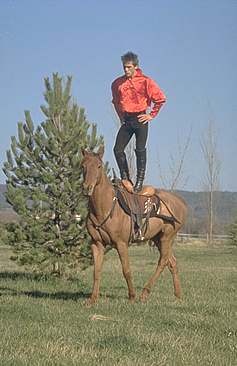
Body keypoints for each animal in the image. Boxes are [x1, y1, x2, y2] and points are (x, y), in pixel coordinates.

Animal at [81, 144, 187, 304]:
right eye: (83, 166)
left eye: (99, 166)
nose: (87, 188)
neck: (106, 207)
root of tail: (180, 202)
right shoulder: (97, 243)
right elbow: (96, 271)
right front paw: (92, 300)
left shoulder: (121, 243)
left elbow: (126, 270)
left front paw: (132, 297)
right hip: (158, 238)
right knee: (172, 263)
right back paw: (178, 295)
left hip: (167, 237)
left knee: (162, 262)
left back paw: (144, 293)